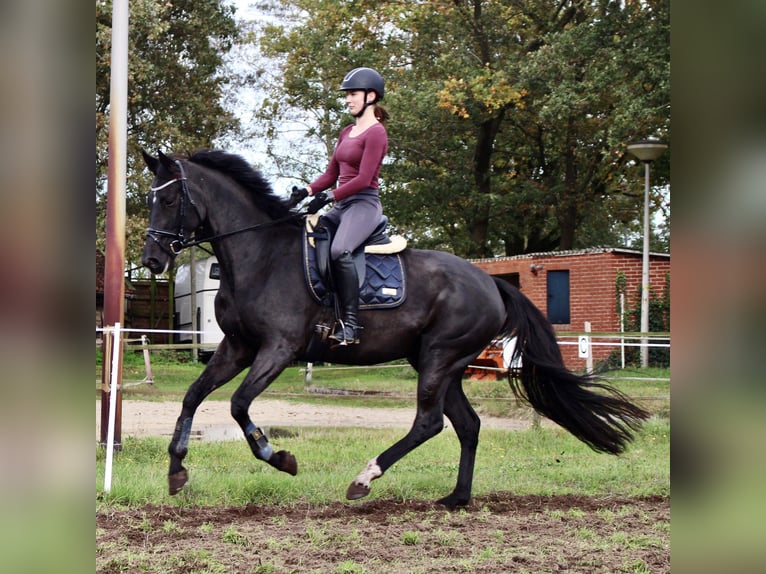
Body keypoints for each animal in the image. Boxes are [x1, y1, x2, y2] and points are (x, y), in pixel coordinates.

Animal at [141, 151, 652, 510]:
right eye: (151, 199)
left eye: (168, 199)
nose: (151, 260)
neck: (258, 255)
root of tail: (491, 282)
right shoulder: (237, 347)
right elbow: (192, 396)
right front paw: (176, 470)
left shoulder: (277, 349)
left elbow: (238, 404)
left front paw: (280, 458)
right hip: (440, 363)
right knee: (466, 424)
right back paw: (457, 498)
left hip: (439, 358)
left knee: (429, 423)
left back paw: (365, 478)